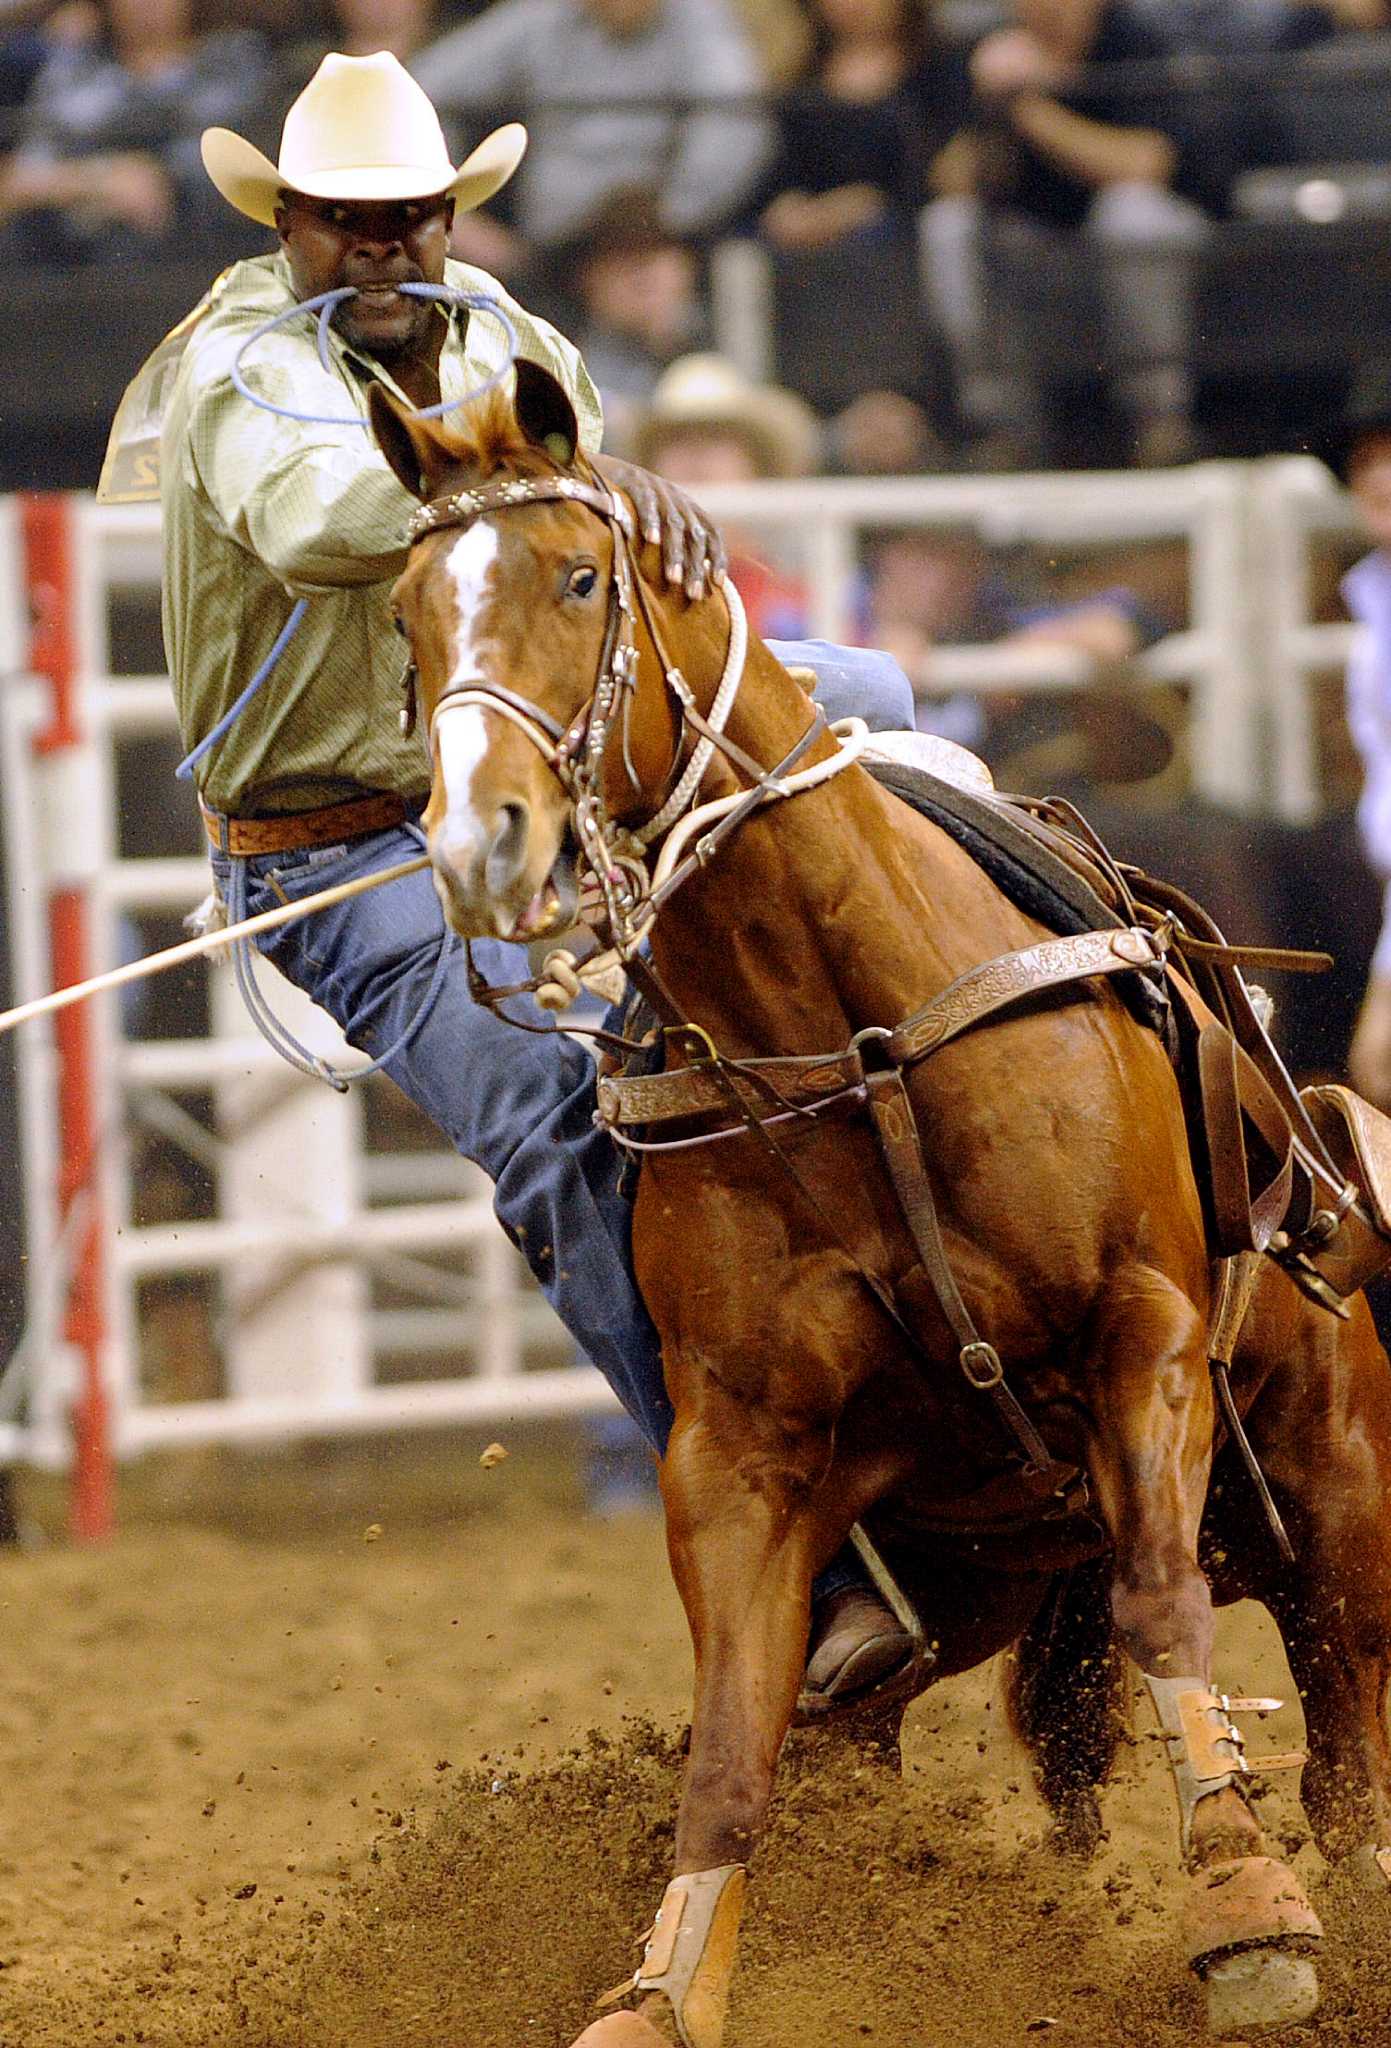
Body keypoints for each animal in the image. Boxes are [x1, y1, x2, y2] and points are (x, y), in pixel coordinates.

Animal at [370, 376, 1391, 2039]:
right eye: (403, 616)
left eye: (579, 580)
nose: (475, 846)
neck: (845, 1037)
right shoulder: (741, 1457)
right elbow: (730, 1757)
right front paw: (657, 1995)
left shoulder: (1142, 1334)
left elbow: (1159, 1603)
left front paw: (1244, 1914)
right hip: (971, 1581)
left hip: (1330, 1489)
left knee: (1347, 1762)